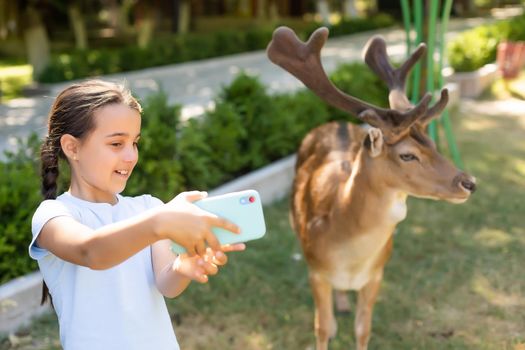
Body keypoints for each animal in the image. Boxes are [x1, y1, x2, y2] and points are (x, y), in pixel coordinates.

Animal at [266, 26, 474, 348]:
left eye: (432, 143)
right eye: (407, 155)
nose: (468, 182)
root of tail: (335, 123)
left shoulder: (377, 275)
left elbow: (363, 329)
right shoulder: (316, 272)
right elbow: (321, 328)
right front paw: (330, 327)